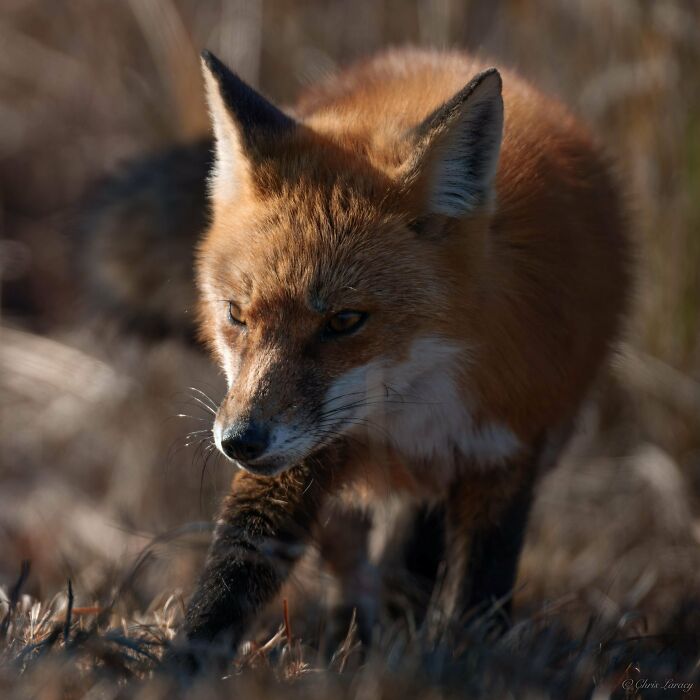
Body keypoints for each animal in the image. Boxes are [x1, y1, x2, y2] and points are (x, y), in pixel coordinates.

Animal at [170, 47, 631, 666]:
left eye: (344, 321)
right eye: (236, 314)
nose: (239, 441)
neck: (412, 403)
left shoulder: (505, 451)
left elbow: (479, 589)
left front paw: (462, 663)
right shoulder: (309, 454)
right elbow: (235, 571)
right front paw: (180, 664)